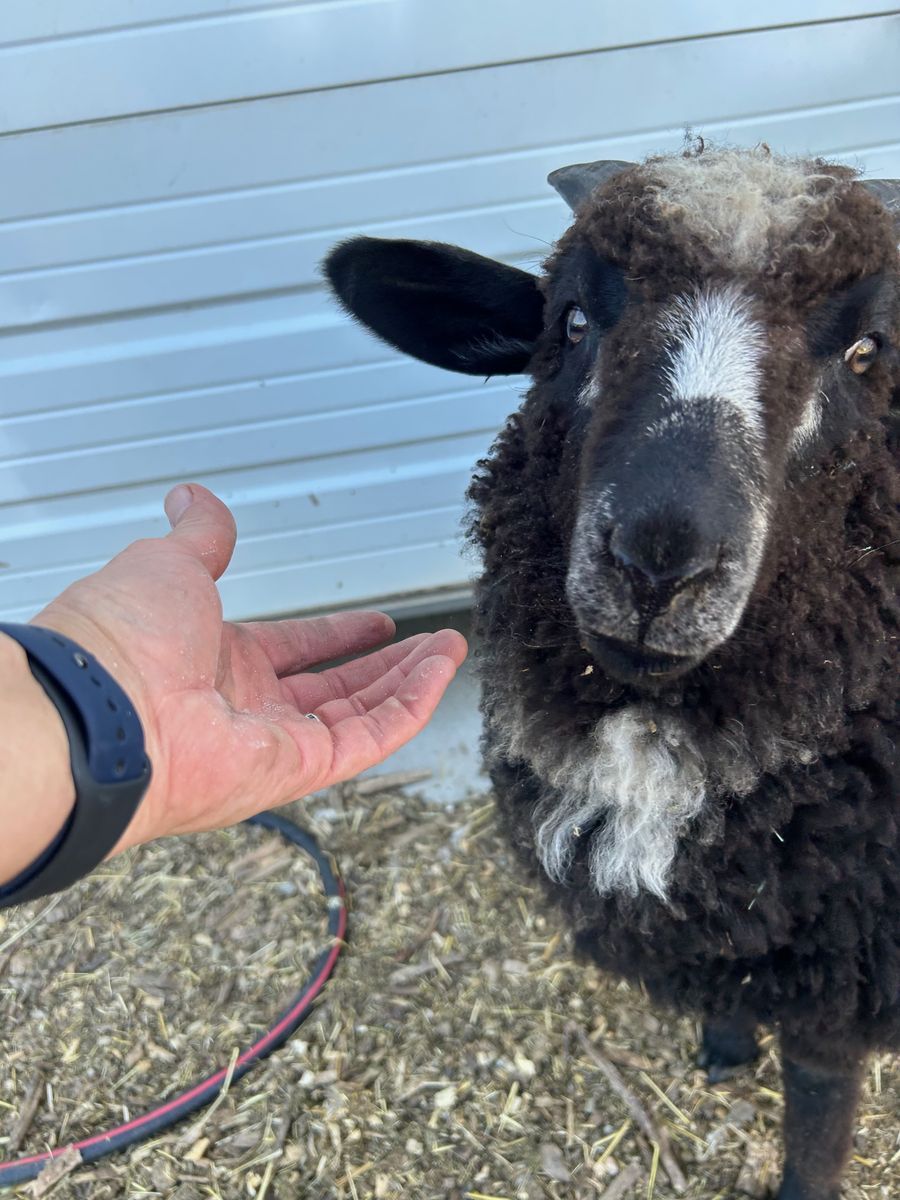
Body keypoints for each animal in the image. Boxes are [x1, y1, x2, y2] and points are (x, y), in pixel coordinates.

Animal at [324, 146, 900, 1200]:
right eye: (573, 322)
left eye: (868, 352)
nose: (658, 564)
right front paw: (723, 1050)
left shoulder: (844, 974)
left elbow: (818, 1104)